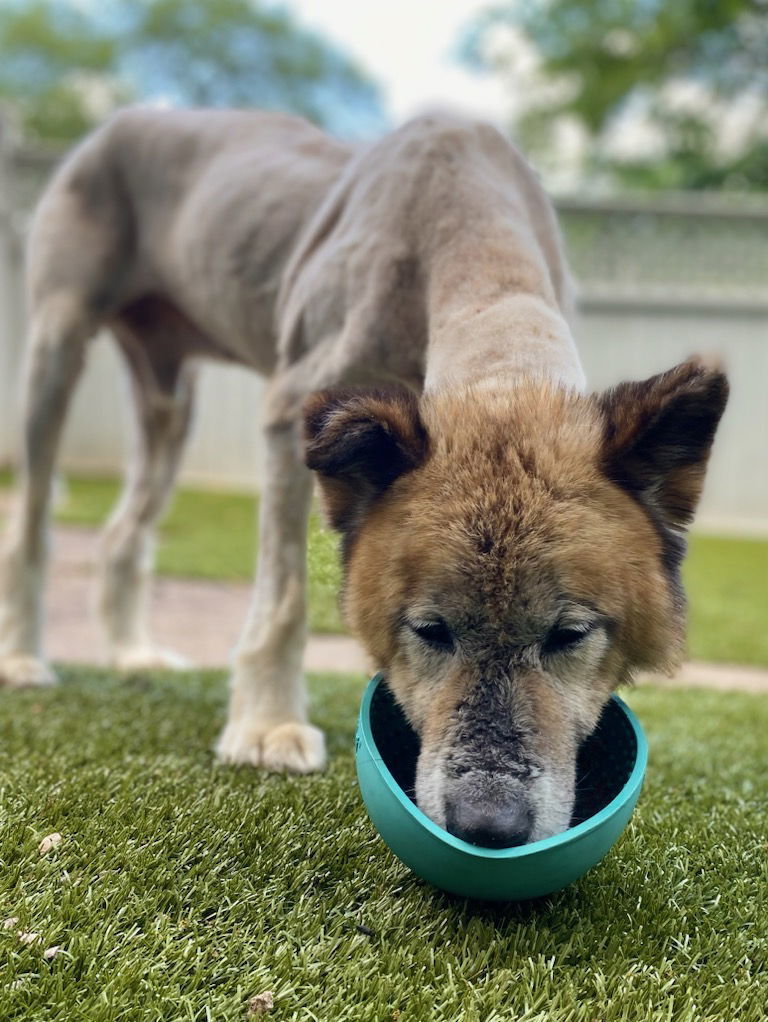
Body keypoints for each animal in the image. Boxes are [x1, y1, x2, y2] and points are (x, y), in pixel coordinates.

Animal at [0, 105, 728, 846]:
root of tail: (125, 118)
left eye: (570, 636)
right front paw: (268, 725)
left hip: (168, 406)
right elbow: (284, 600)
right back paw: (23, 659)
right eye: (430, 630)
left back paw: (130, 652)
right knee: (30, 522)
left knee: (123, 531)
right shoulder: (293, 412)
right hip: (56, 350)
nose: (487, 826)